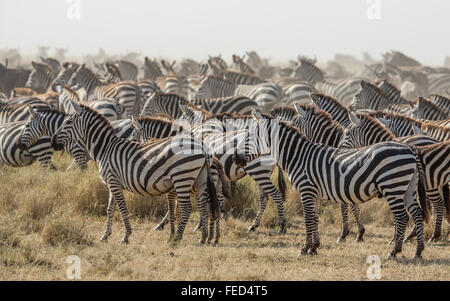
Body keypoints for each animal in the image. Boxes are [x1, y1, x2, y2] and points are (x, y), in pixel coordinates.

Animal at [51, 101, 225, 244]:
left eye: (68, 121)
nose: (52, 141)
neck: (105, 148)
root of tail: (202, 147)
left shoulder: (114, 181)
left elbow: (122, 207)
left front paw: (126, 236)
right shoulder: (112, 183)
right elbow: (110, 209)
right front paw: (105, 236)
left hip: (182, 178)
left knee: (188, 208)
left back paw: (177, 238)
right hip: (199, 180)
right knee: (204, 206)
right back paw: (204, 238)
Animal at [236, 110, 428, 258]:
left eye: (249, 135)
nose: (236, 159)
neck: (298, 156)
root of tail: (409, 149)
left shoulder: (306, 190)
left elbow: (307, 219)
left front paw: (305, 248)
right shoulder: (313, 193)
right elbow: (314, 218)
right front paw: (314, 247)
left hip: (393, 186)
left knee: (402, 217)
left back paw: (394, 251)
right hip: (408, 188)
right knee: (417, 213)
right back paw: (418, 251)